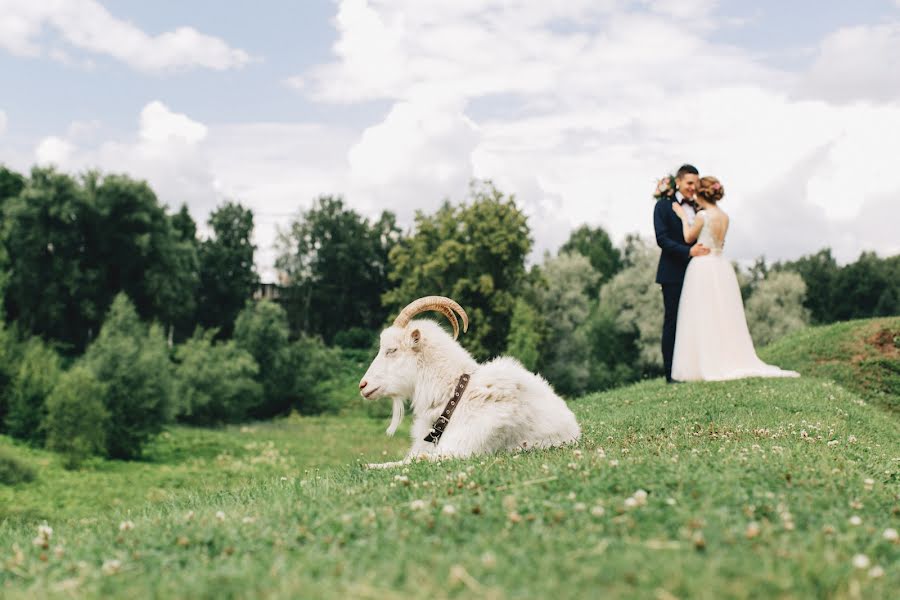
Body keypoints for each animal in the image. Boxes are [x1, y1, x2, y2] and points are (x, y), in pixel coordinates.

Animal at [360, 296, 584, 468]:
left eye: (391, 350)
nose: (363, 385)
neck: (454, 396)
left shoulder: (460, 449)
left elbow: (413, 461)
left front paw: (368, 466)